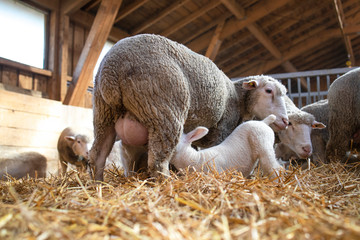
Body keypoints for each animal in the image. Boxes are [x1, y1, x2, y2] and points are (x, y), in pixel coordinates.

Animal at [90, 33, 290, 180]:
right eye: (269, 91)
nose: (285, 121)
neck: (239, 99)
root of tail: (113, 67)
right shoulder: (222, 128)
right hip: (164, 110)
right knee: (157, 161)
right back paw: (167, 182)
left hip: (103, 114)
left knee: (97, 156)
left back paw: (97, 184)